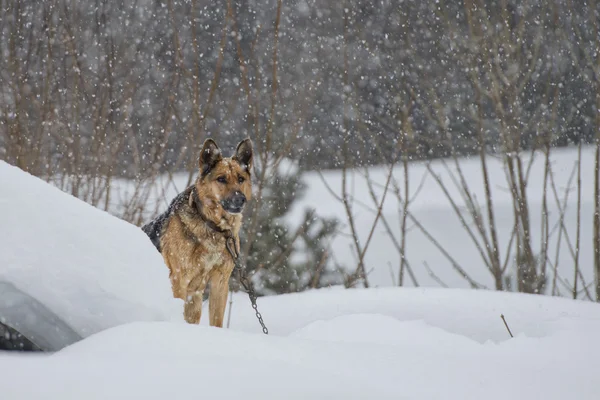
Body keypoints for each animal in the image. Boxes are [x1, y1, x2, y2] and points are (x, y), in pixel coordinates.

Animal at [143, 139, 253, 326]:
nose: (240, 199)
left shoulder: (219, 283)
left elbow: (216, 321)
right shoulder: (178, 280)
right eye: (221, 179)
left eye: (241, 179)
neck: (212, 226)